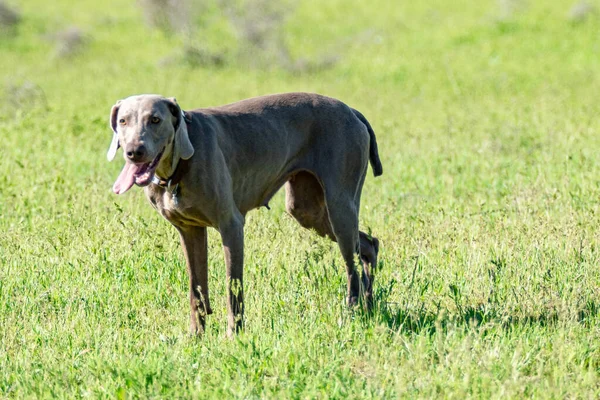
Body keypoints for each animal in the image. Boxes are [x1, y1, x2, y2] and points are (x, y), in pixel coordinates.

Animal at [106, 92, 384, 336]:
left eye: (155, 119)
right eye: (123, 121)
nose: (134, 151)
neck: (178, 168)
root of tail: (351, 111)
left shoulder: (231, 226)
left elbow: (233, 287)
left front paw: (233, 335)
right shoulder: (190, 230)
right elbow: (196, 288)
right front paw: (196, 336)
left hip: (339, 201)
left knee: (351, 266)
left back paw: (351, 314)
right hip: (306, 209)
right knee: (368, 244)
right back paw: (370, 307)